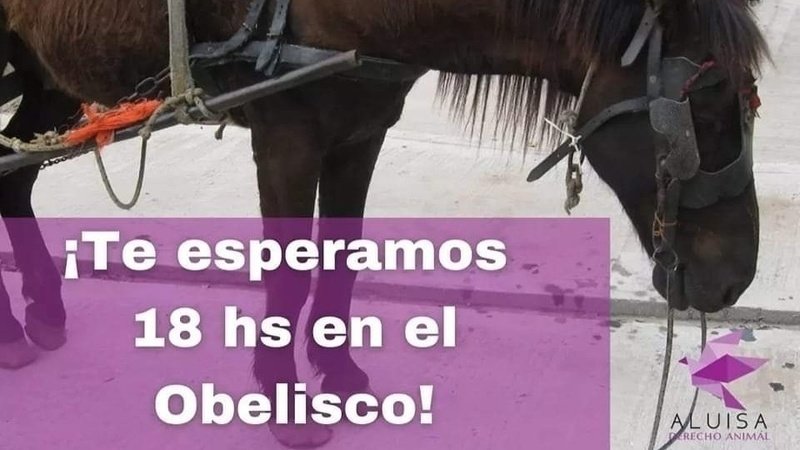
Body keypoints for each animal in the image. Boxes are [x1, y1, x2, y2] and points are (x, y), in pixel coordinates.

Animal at [0, 0, 768, 447]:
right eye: (705, 108)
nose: (735, 280)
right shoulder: (285, 139)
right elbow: (288, 277)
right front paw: (286, 405)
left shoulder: (361, 132)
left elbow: (341, 261)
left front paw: (338, 374)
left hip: (46, 74)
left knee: (13, 180)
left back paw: (40, 310)